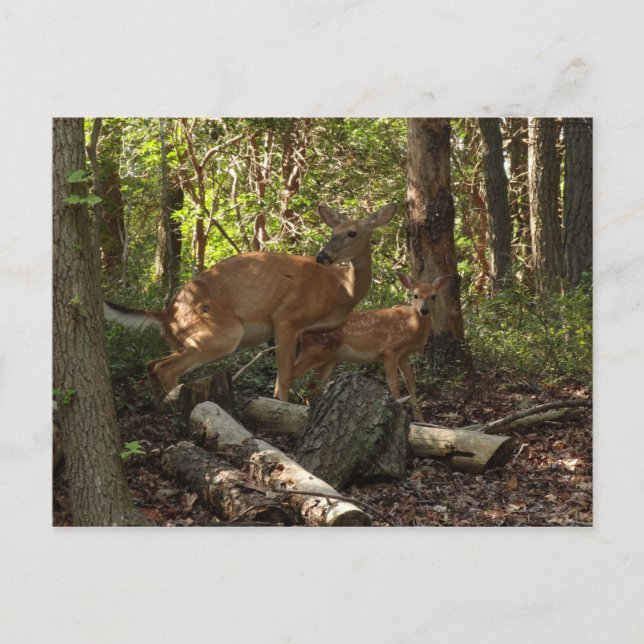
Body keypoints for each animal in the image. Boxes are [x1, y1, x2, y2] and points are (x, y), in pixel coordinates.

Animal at [103, 202, 397, 401]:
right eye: (333, 230)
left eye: (352, 233)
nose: (323, 256)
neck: (342, 289)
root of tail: (165, 315)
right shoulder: (286, 317)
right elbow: (284, 377)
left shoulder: (303, 331)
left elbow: (291, 375)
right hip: (223, 332)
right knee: (165, 368)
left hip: (184, 339)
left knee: (151, 363)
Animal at [288, 272, 452, 421]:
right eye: (415, 295)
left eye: (433, 296)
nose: (424, 310)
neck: (410, 325)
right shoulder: (389, 350)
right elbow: (394, 384)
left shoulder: (404, 354)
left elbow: (410, 383)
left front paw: (421, 421)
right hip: (314, 351)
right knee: (290, 374)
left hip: (329, 358)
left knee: (313, 387)